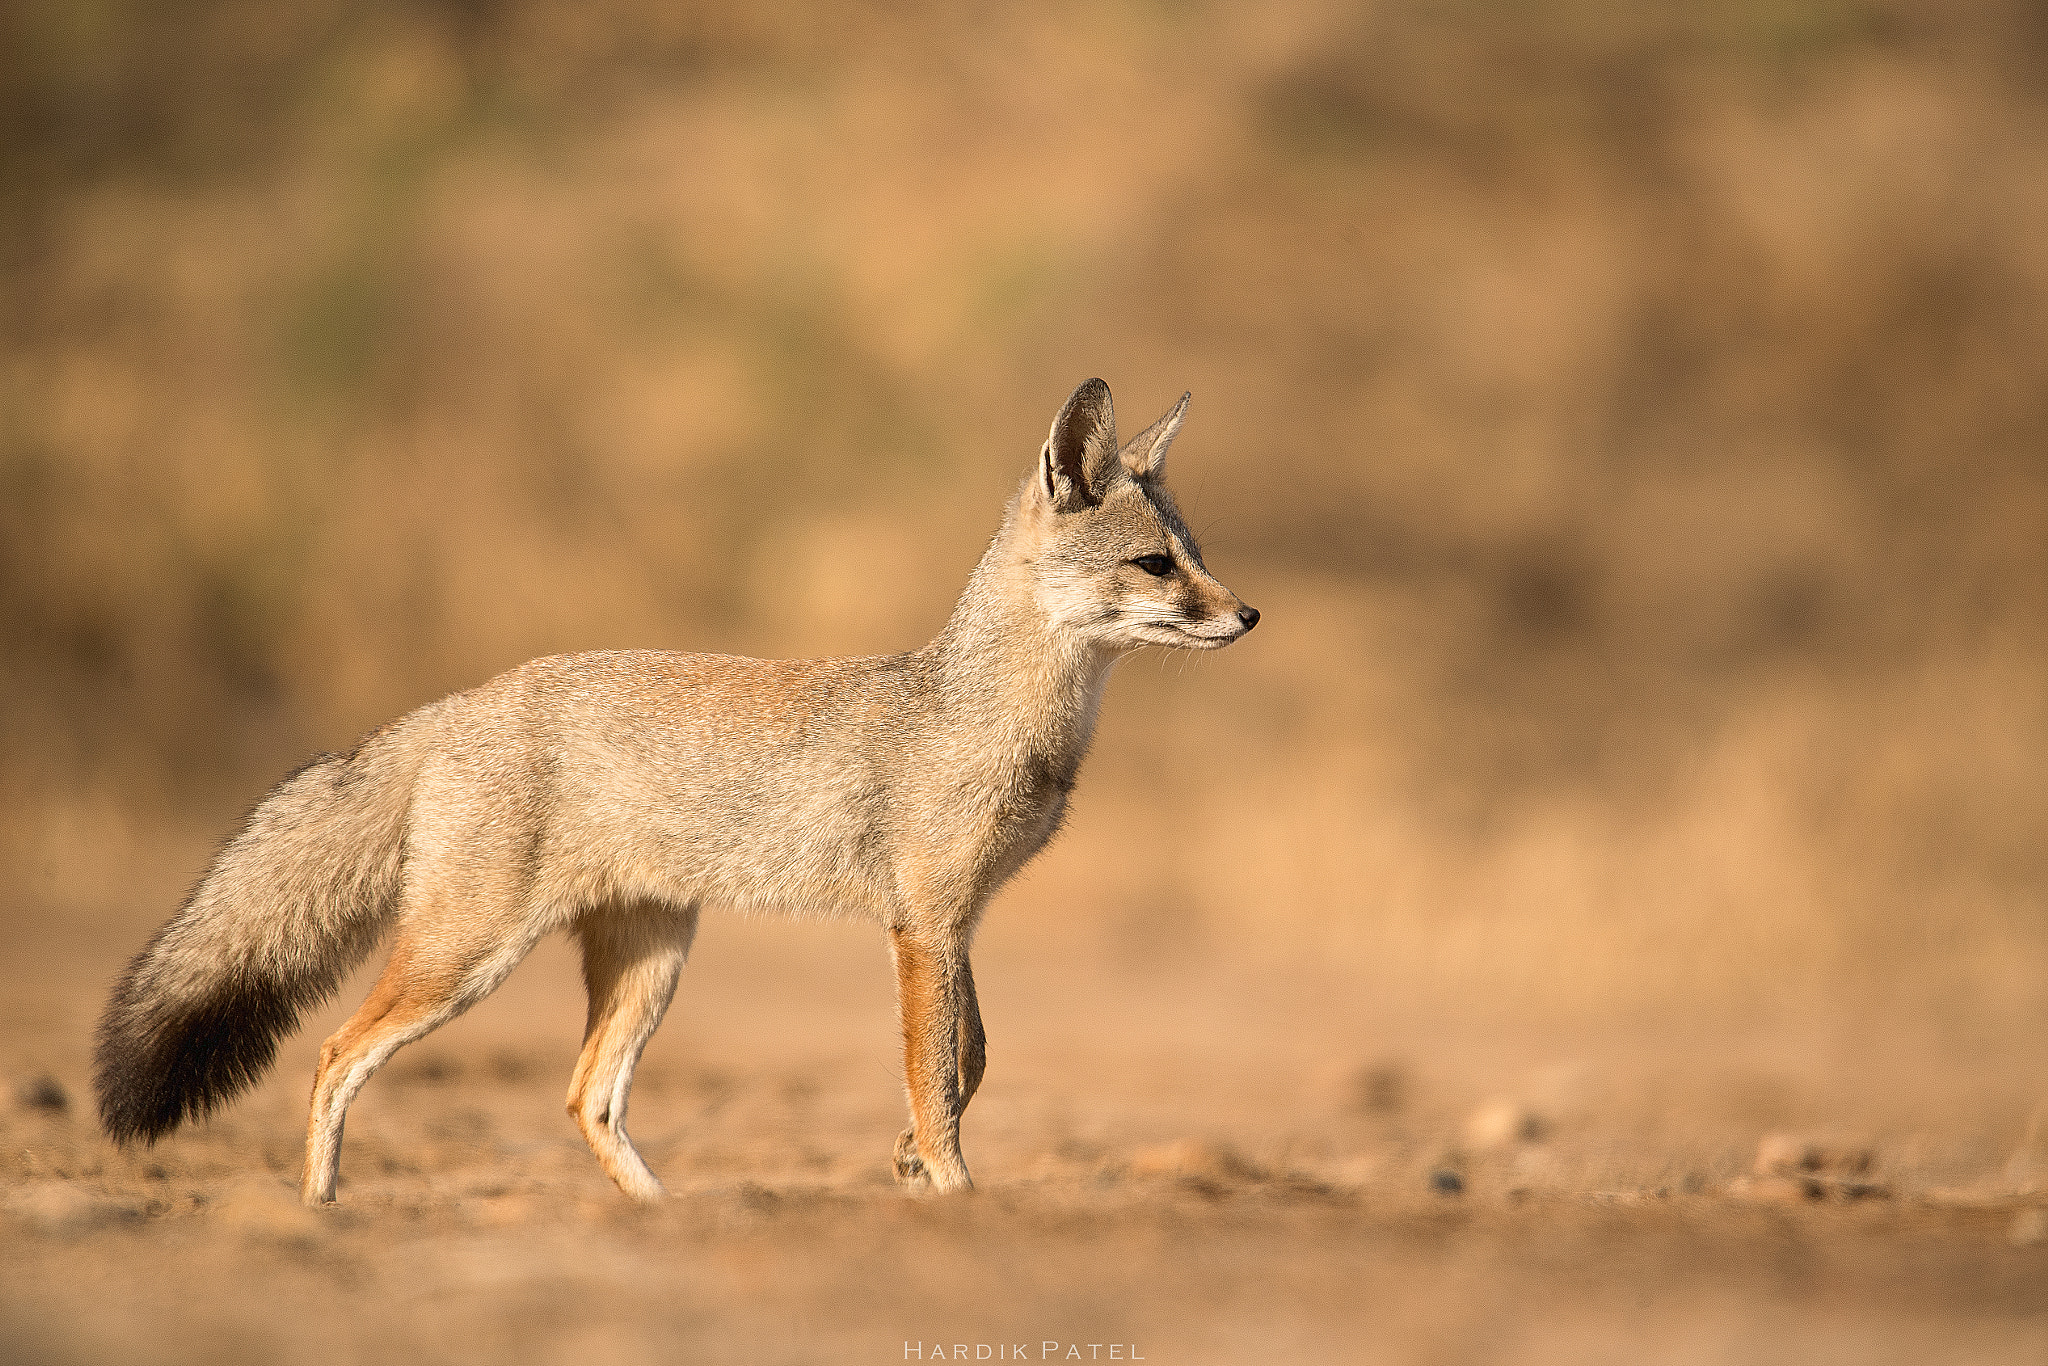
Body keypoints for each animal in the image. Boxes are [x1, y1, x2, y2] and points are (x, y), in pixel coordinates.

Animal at [93, 378, 1258, 1206]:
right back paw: (321, 1206)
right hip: (465, 959)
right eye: (1156, 567)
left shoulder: (951, 924)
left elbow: (971, 1060)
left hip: (651, 960)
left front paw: (908, 1162)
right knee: (336, 1054)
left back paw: (662, 1216)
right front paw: (954, 1188)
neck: (977, 711)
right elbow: (939, 1080)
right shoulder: (925, 925)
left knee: (584, 1098)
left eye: (1196, 556)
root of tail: (452, 706)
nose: (1247, 616)